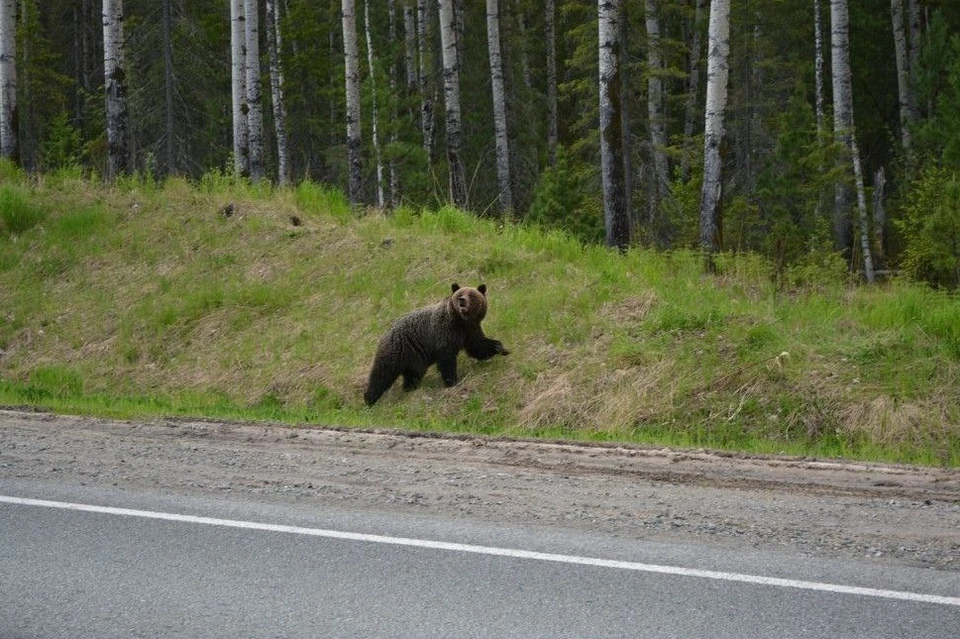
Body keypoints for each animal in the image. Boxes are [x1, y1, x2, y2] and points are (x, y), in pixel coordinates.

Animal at [364, 284, 510, 404]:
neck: (461, 322)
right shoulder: (445, 333)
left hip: (415, 358)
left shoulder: (470, 330)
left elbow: (478, 346)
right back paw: (370, 399)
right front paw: (452, 382)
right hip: (398, 349)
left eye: (471, 294)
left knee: (412, 376)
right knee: (382, 373)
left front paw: (501, 347)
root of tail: (386, 332)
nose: (462, 300)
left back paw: (409, 389)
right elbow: (447, 361)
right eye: (460, 294)